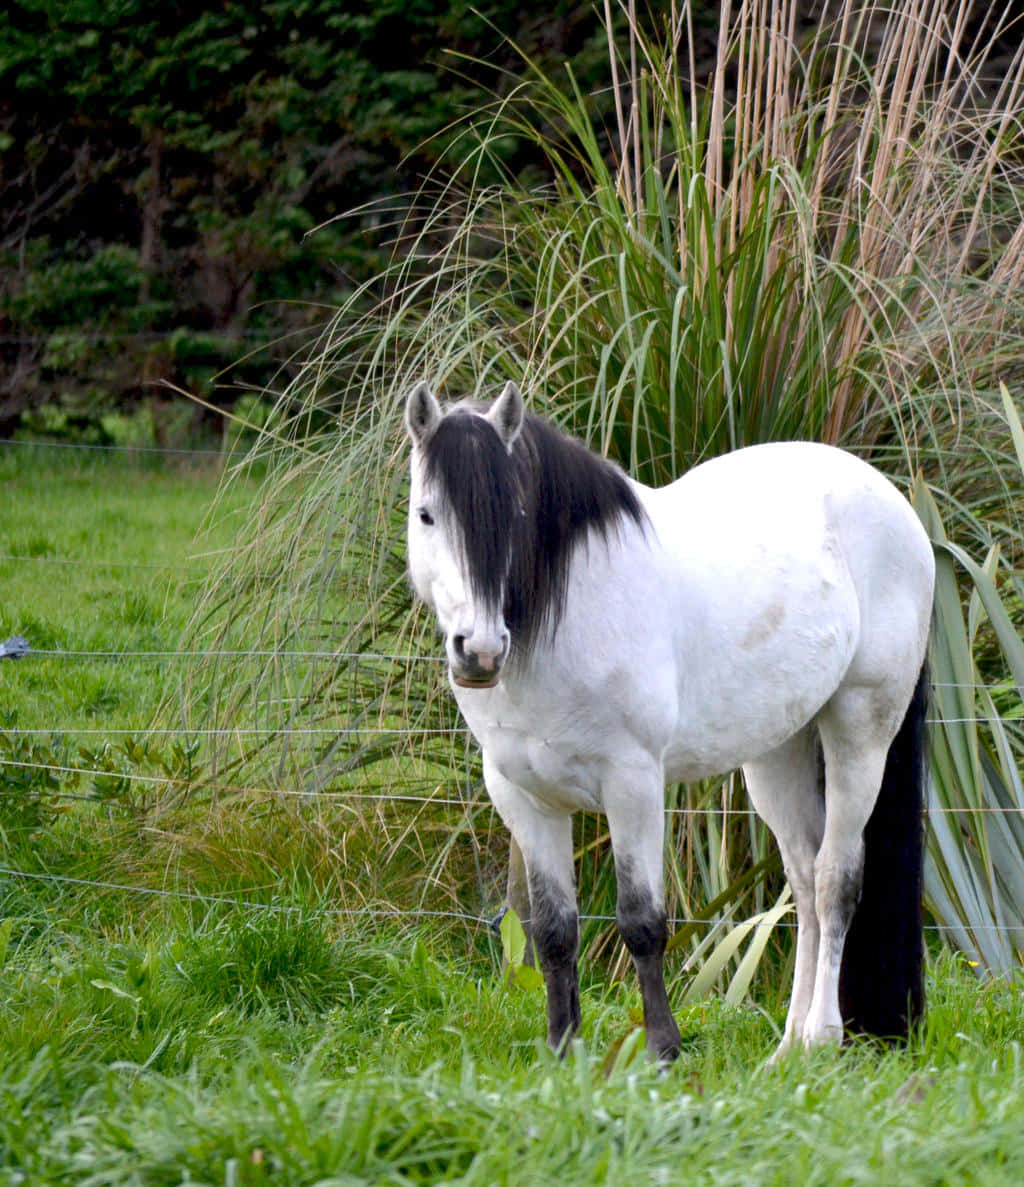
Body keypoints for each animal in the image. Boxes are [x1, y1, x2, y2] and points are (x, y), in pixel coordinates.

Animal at [403, 379, 934, 1062]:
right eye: (426, 514)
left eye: (516, 515)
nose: (481, 651)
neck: (566, 617)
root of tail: (894, 503)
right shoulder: (523, 797)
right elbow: (554, 931)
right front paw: (563, 1052)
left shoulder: (632, 785)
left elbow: (641, 921)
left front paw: (661, 1050)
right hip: (778, 752)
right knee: (803, 884)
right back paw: (787, 1049)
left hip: (860, 732)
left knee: (833, 879)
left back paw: (821, 1037)